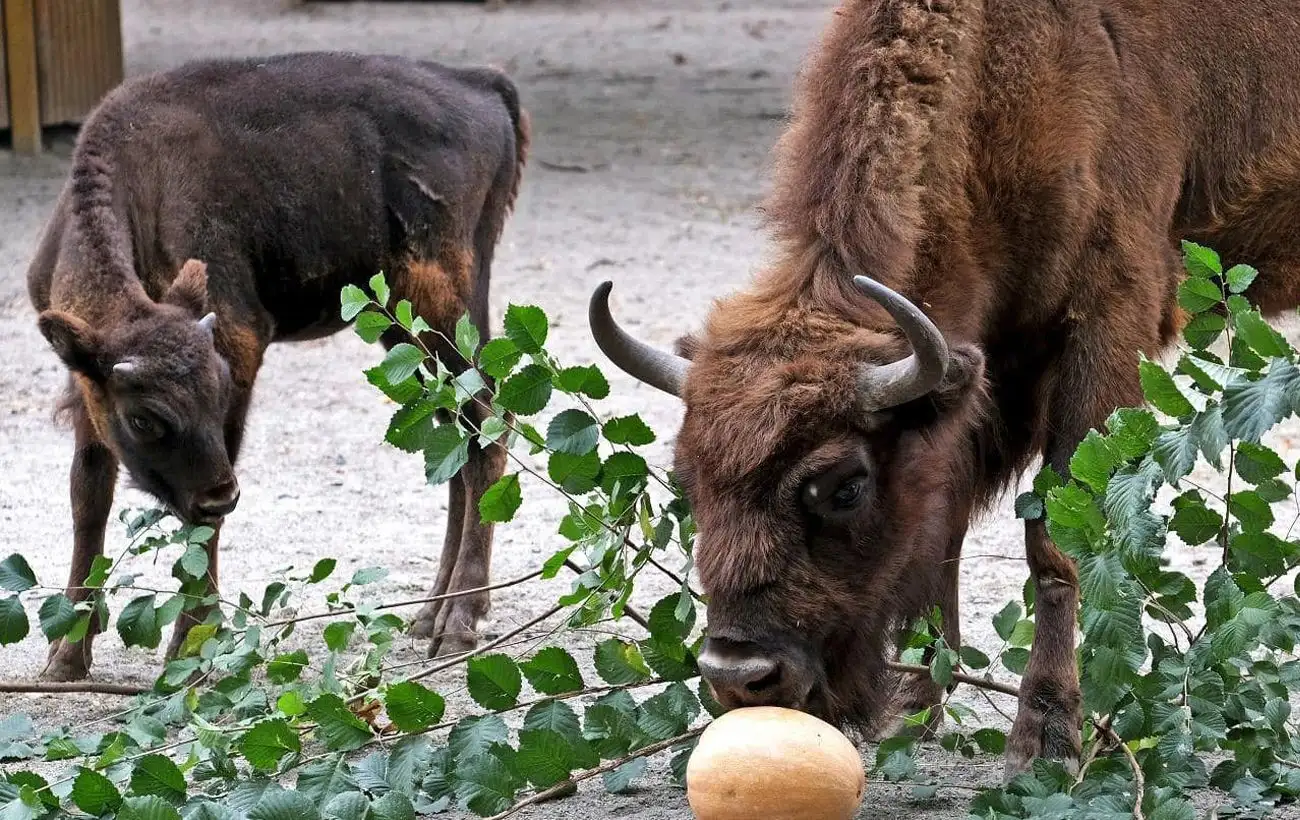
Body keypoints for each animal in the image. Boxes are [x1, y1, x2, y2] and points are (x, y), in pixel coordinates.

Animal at [25, 49, 525, 680]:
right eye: (143, 417)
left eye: (217, 391)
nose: (222, 495)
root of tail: (482, 83)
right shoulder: (85, 380)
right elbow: (88, 495)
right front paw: (65, 659)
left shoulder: (239, 344)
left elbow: (199, 524)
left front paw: (192, 649)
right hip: (407, 334)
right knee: (457, 436)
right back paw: (430, 614)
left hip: (444, 309)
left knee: (488, 426)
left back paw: (458, 624)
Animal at [587, 0, 1300, 779]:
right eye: (685, 480)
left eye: (845, 487)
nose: (739, 674)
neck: (1011, 73)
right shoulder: (986, 361)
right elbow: (945, 525)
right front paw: (916, 706)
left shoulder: (1106, 319)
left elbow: (1055, 536)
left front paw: (1046, 736)